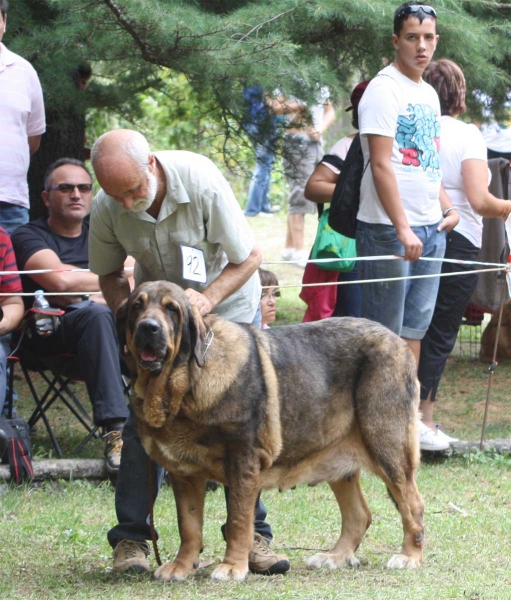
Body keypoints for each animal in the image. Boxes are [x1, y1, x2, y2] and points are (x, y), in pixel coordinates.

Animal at [118, 282, 426, 580]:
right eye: (137, 307)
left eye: (172, 309)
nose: (149, 327)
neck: (184, 384)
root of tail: (397, 340)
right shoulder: (184, 473)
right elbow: (189, 525)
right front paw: (181, 567)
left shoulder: (243, 461)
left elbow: (238, 521)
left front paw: (232, 567)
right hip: (339, 459)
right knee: (360, 515)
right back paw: (335, 557)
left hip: (388, 448)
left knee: (412, 504)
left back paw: (409, 557)